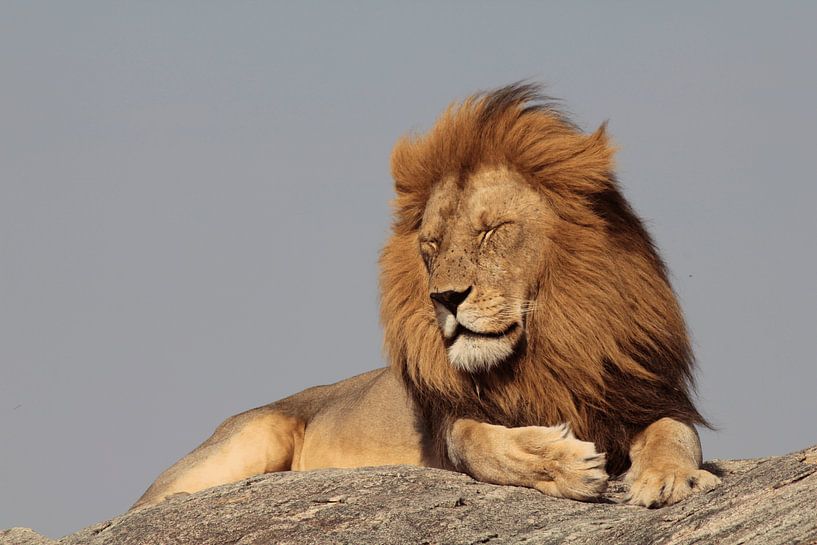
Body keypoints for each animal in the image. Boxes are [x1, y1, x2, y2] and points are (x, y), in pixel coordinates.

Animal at [133, 83, 720, 510]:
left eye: (491, 232)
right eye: (432, 245)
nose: (446, 298)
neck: (544, 350)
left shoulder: (639, 396)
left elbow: (676, 435)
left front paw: (669, 479)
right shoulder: (449, 427)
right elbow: (482, 445)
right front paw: (564, 463)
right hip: (257, 433)